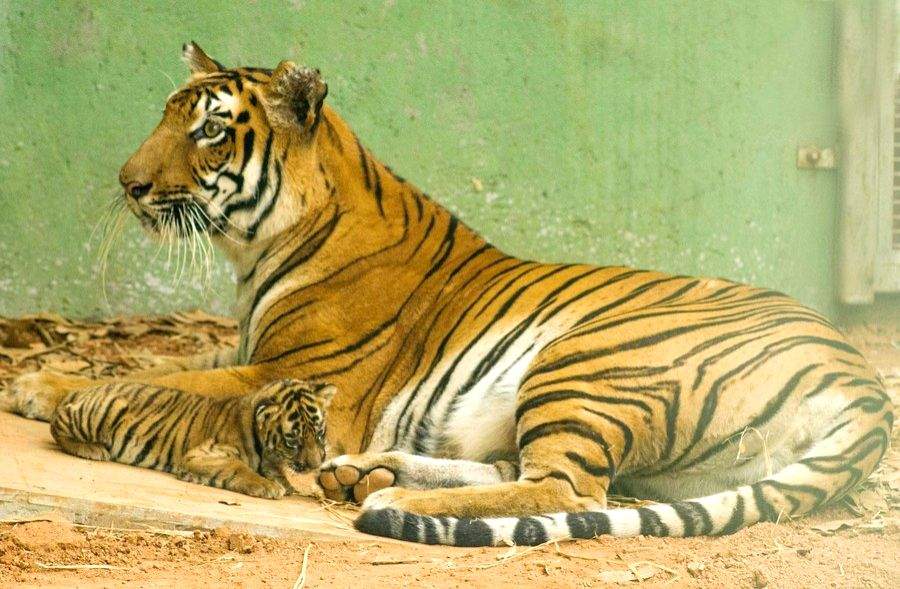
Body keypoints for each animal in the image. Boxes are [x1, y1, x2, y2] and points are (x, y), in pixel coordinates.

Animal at [49, 378, 336, 499]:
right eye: (293, 440)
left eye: (320, 433)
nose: (315, 465)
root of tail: (79, 390)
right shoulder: (204, 454)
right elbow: (238, 468)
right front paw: (268, 487)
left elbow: (279, 473)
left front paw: (292, 486)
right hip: (101, 411)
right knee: (56, 427)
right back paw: (92, 450)